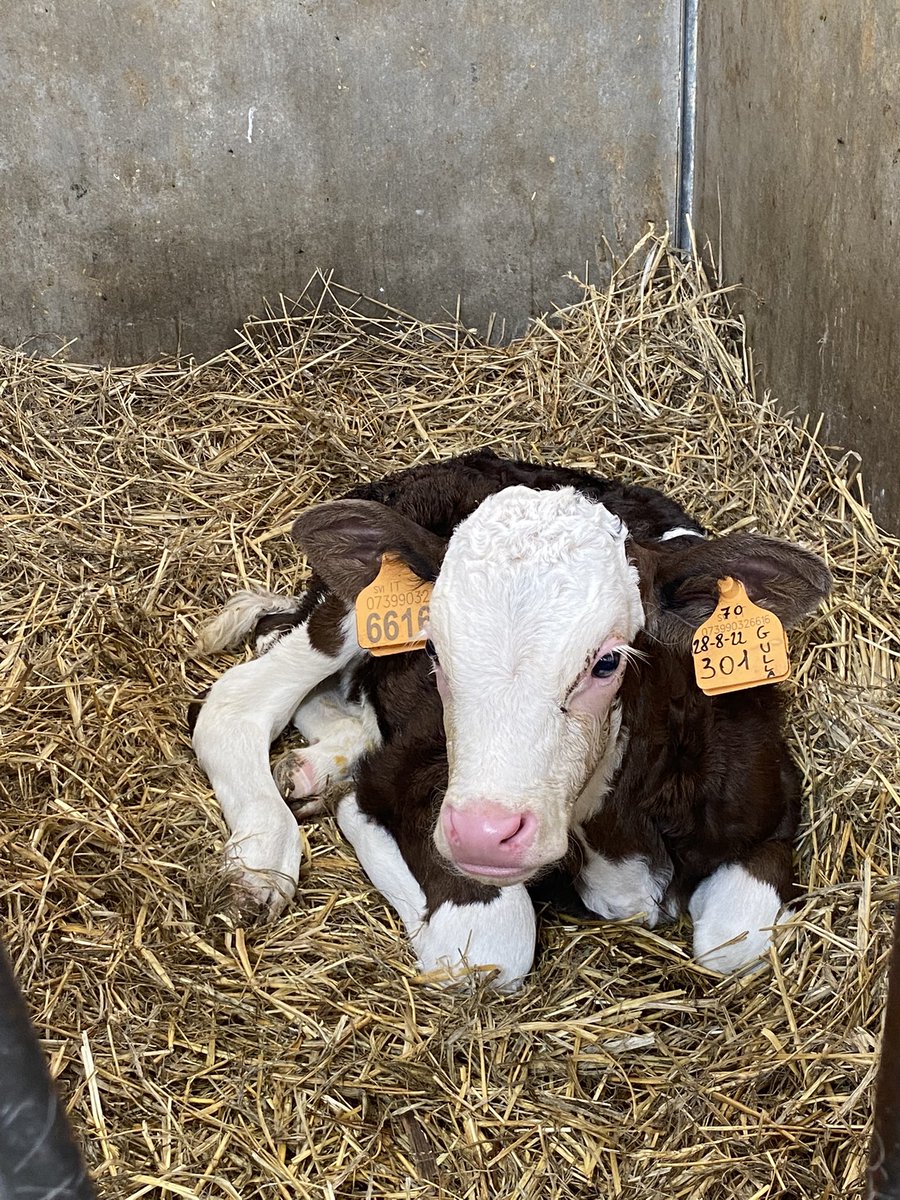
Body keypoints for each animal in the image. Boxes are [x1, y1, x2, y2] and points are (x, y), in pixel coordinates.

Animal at [190, 451, 830, 989]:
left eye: (608, 661)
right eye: (432, 650)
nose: (482, 831)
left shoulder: (768, 798)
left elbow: (734, 945)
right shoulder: (406, 782)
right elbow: (487, 950)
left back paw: (317, 767)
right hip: (347, 612)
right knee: (236, 699)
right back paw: (261, 860)